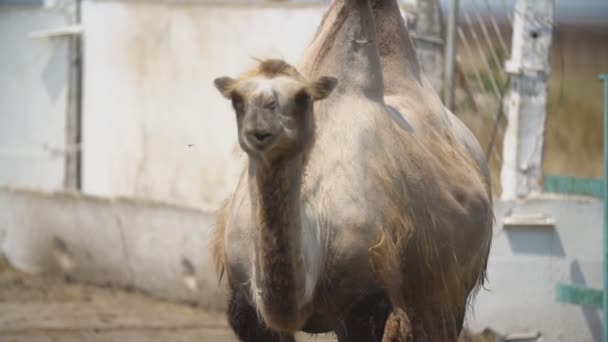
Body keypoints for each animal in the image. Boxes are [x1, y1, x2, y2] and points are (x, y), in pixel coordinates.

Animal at [211, 0, 492, 340]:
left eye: (302, 98)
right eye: (237, 99)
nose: (261, 129)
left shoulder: (365, 301)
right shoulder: (245, 306)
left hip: (450, 291)